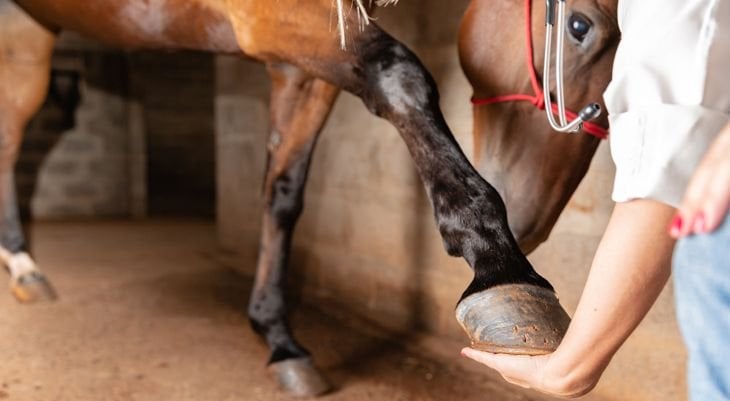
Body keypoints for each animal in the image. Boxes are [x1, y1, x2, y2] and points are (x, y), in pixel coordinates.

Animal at [0, 0, 616, 396]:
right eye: (579, 26)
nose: (530, 220)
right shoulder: (273, 19)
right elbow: (399, 77)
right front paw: (501, 268)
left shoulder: (303, 63)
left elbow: (282, 193)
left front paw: (278, 337)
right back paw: (23, 264)